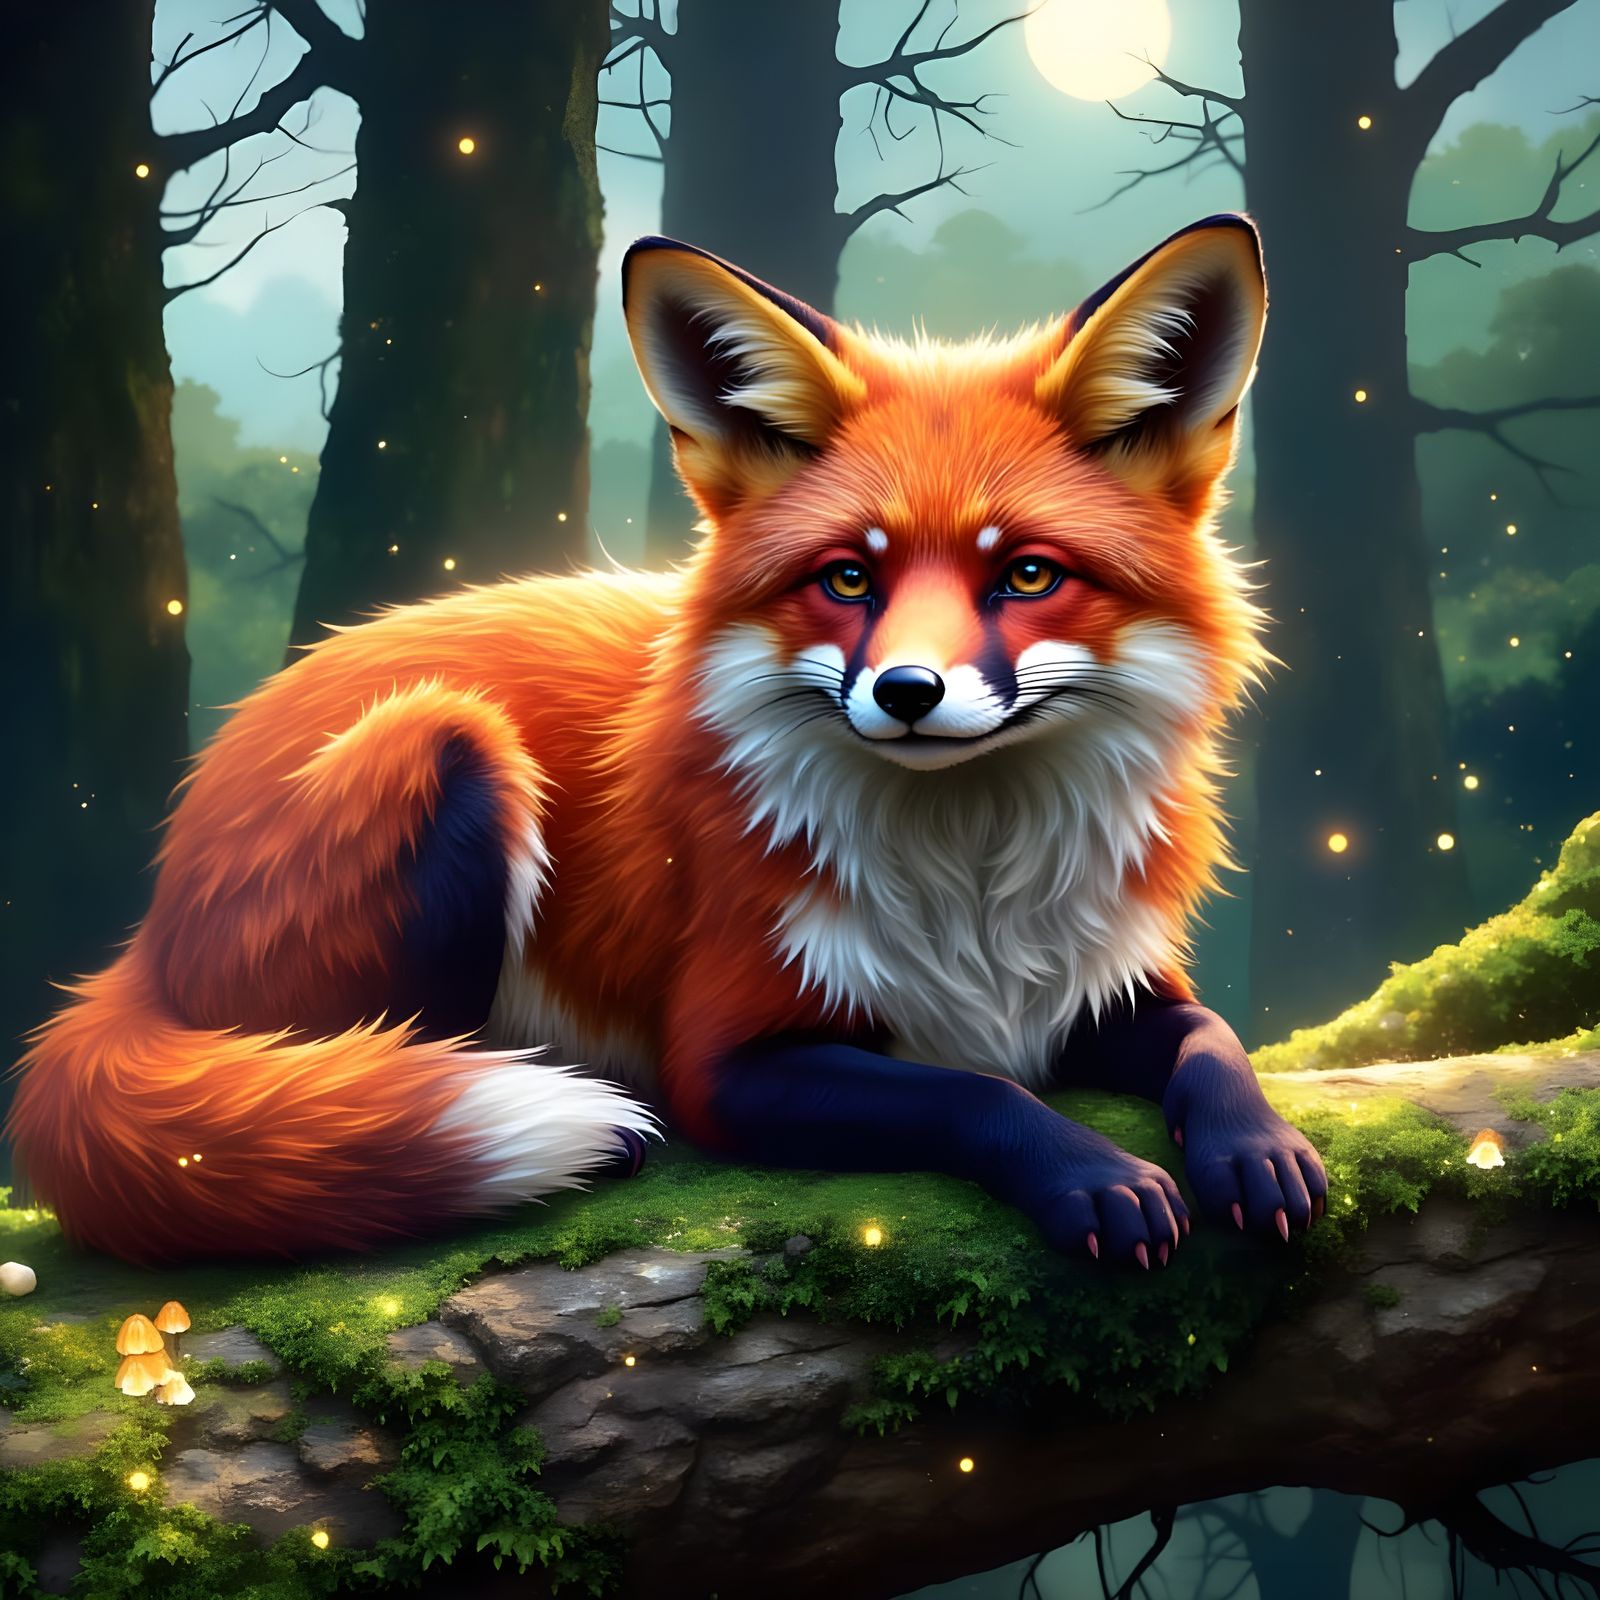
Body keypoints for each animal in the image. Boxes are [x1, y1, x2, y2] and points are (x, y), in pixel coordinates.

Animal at [7, 213, 1326, 1265]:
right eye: (849, 577)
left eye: (1029, 575)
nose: (906, 689)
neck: (972, 894)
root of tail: (150, 912)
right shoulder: (728, 1056)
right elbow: (967, 1092)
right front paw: (1090, 1174)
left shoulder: (1097, 983)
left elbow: (1209, 1038)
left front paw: (1252, 1148)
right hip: (452, 749)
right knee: (349, 1074)